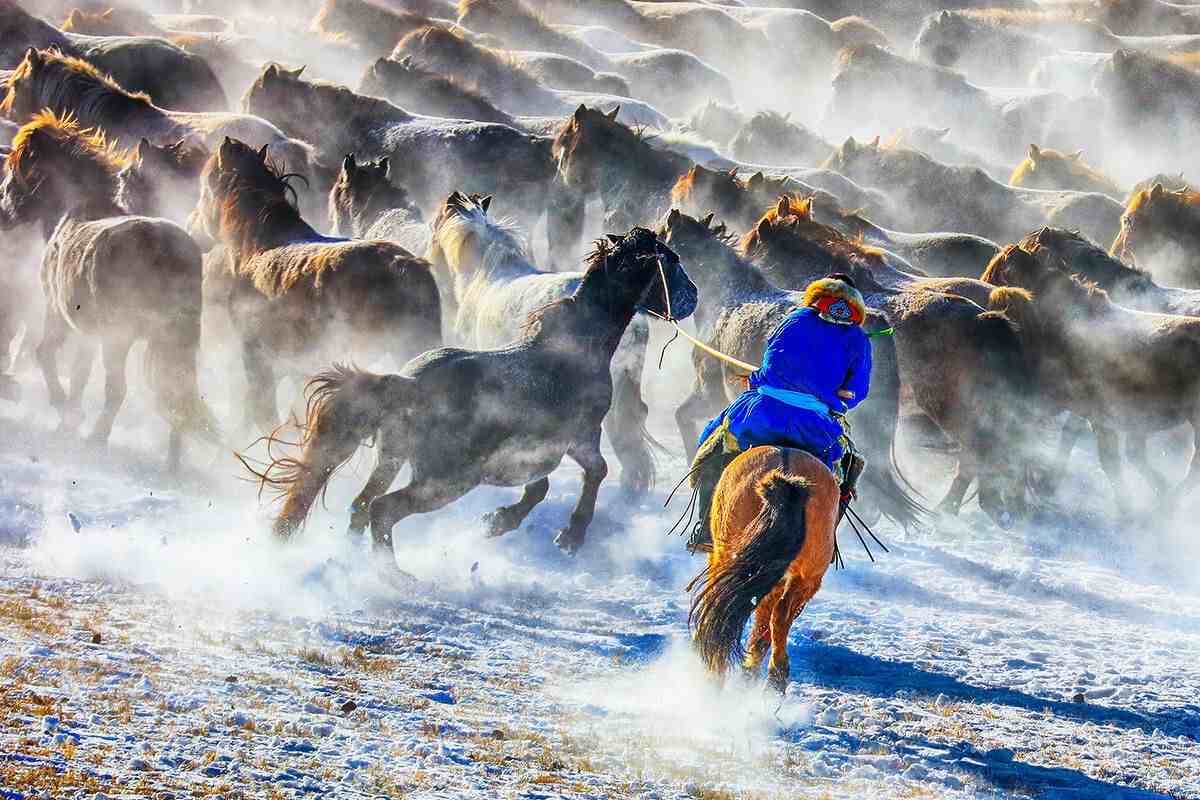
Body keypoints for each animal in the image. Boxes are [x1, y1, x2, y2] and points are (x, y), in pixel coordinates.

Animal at [0, 109, 217, 465]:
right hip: (171, 340)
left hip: (120, 338)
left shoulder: (59, 315)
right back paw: (172, 460)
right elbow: (79, 375)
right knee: (175, 391)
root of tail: (168, 251)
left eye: (19, 167)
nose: (4, 213)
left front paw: (66, 412)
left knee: (118, 389)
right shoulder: (88, 334)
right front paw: (69, 418)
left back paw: (98, 436)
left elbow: (46, 355)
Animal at [192, 137, 446, 438]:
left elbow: (262, 411)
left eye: (205, 185)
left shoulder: (256, 356)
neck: (260, 245)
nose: (193, 229)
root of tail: (403, 264)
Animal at [691, 448, 840, 690]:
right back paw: (775, 675)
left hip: (729, 557)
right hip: (807, 574)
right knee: (780, 614)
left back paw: (717, 673)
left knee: (724, 611)